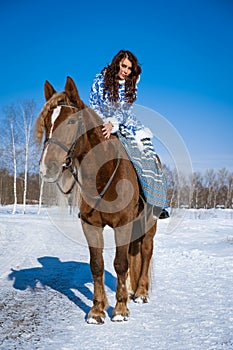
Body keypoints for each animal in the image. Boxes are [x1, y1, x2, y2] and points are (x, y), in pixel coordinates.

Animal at [34, 77, 157, 326]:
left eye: (71, 121)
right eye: (47, 122)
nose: (47, 167)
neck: (104, 176)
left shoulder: (122, 224)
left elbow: (120, 264)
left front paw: (120, 310)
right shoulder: (91, 226)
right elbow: (97, 265)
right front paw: (97, 311)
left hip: (149, 225)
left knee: (146, 251)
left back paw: (141, 293)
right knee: (134, 253)